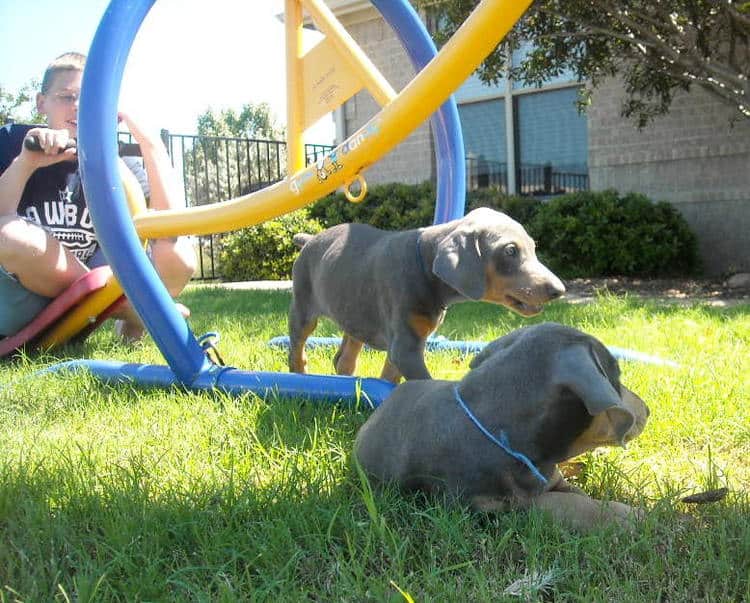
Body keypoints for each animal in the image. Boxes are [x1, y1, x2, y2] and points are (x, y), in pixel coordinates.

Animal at [290, 208, 568, 382]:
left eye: (533, 247)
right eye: (510, 250)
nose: (559, 290)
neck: (423, 265)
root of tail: (310, 238)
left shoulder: (406, 345)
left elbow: (391, 377)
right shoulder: (405, 347)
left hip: (354, 308)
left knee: (344, 356)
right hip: (303, 305)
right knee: (297, 347)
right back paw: (299, 376)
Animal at [356, 326, 648, 532]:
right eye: (617, 377)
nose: (648, 409)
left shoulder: (550, 479)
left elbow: (572, 494)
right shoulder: (483, 509)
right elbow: (549, 504)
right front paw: (626, 517)